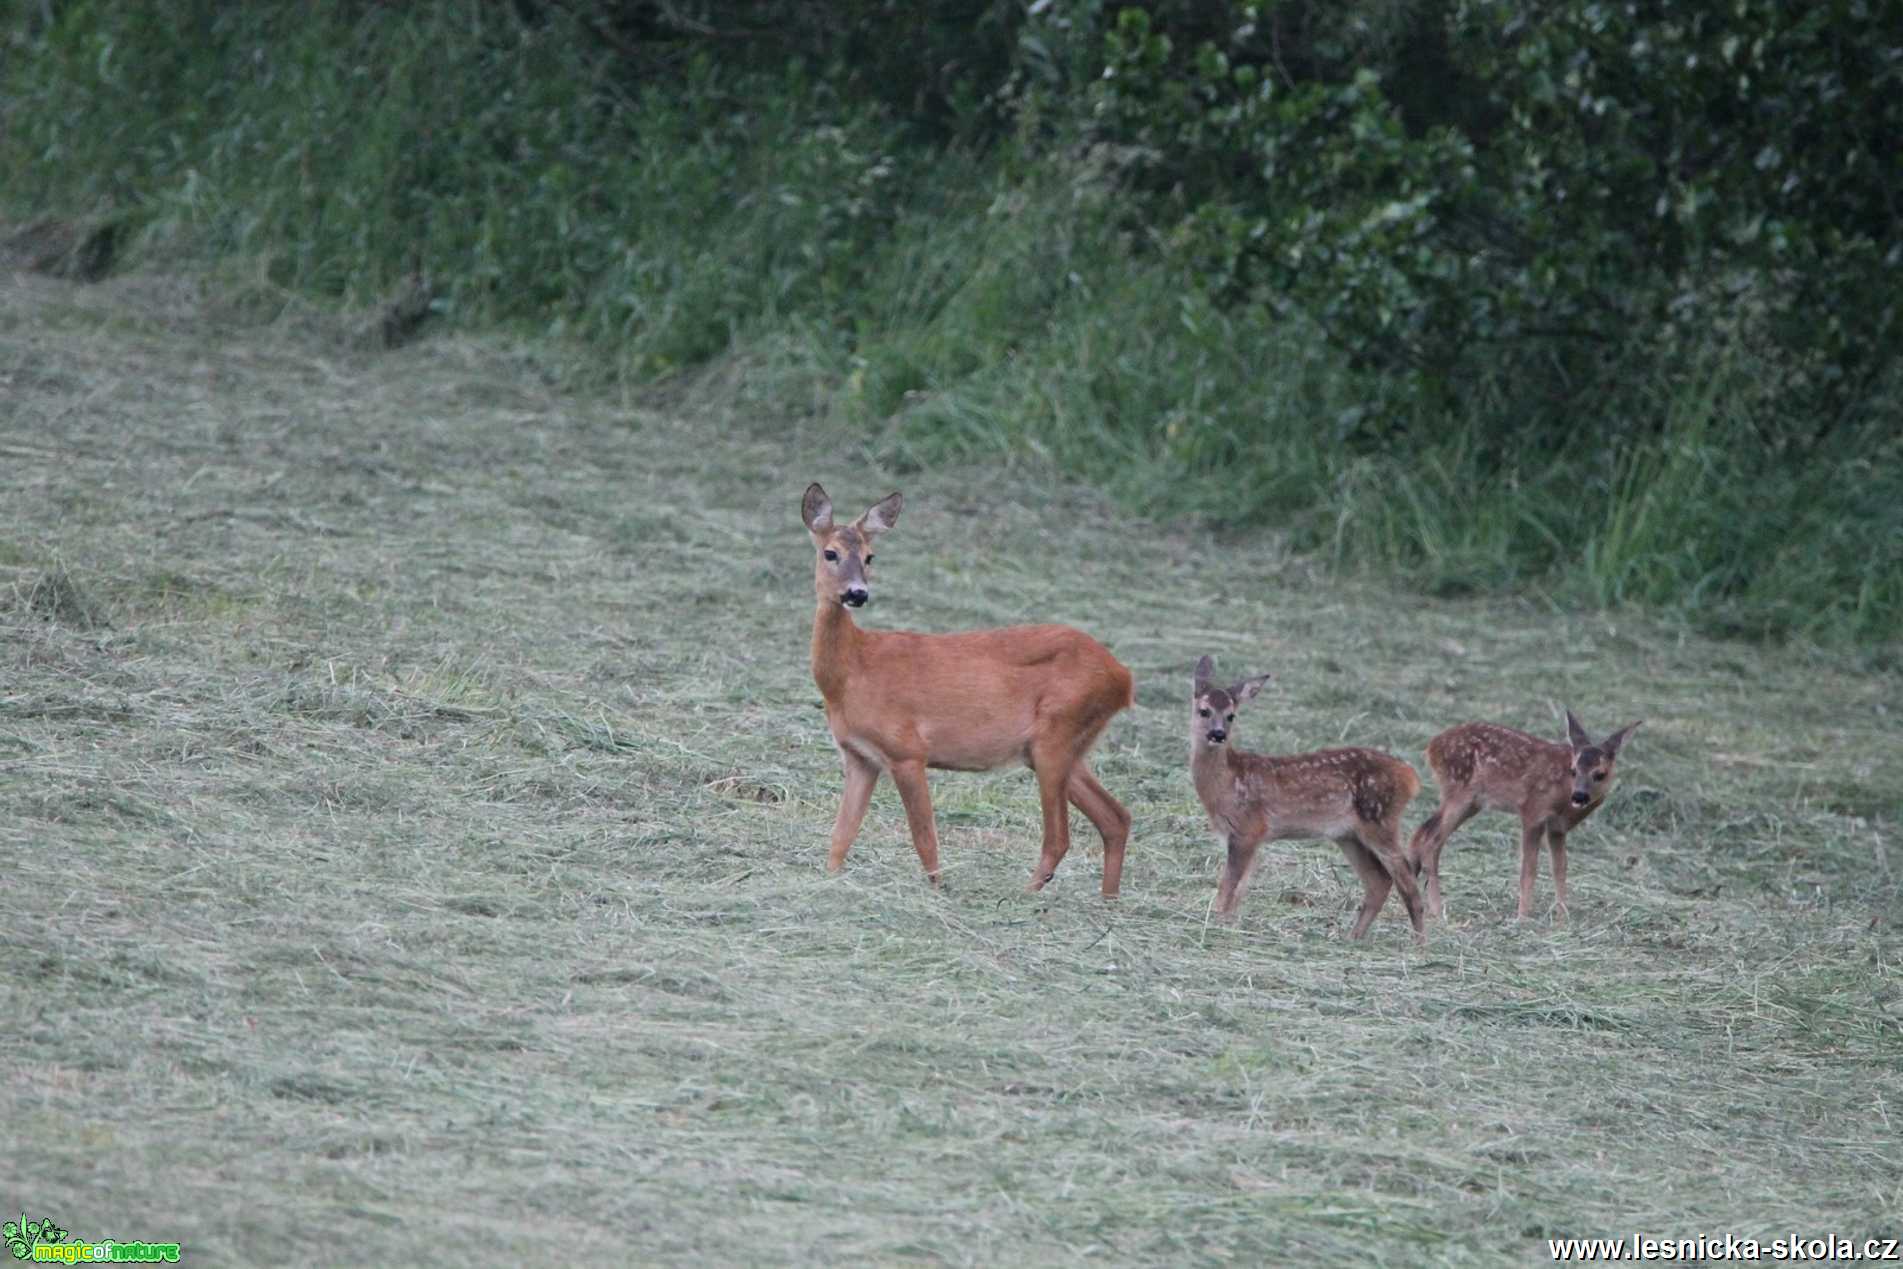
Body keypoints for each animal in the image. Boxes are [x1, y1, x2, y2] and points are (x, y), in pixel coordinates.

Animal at [799, 483, 1134, 894]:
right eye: (830, 552)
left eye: (869, 556)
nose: (857, 593)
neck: (853, 671)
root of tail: (1123, 677)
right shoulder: (860, 757)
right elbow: (840, 837)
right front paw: (827, 882)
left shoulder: (907, 749)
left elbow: (925, 839)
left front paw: (938, 892)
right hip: (1062, 748)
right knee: (1116, 817)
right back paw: (1108, 901)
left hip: (1057, 731)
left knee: (1059, 836)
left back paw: (1024, 896)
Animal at [1187, 654, 1431, 943]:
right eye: (1204, 711)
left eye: (1231, 715)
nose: (1218, 734)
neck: (1228, 783)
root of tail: (1411, 777)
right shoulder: (1253, 837)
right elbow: (1239, 890)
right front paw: (1228, 926)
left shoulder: (1248, 828)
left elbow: (1227, 888)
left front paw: (1216, 925)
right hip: (1348, 835)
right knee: (1379, 880)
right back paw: (1352, 938)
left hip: (1381, 819)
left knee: (1408, 882)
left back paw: (1419, 944)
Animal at [1408, 703, 1644, 924]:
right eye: (1574, 770)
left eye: (1600, 774)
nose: (1579, 796)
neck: (1562, 795)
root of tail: (1431, 747)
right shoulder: (1533, 811)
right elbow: (1528, 869)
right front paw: (1522, 918)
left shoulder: (1557, 827)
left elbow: (1560, 868)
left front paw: (1562, 919)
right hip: (1459, 793)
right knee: (1430, 839)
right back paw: (1438, 912)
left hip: (1470, 802)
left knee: (1422, 833)